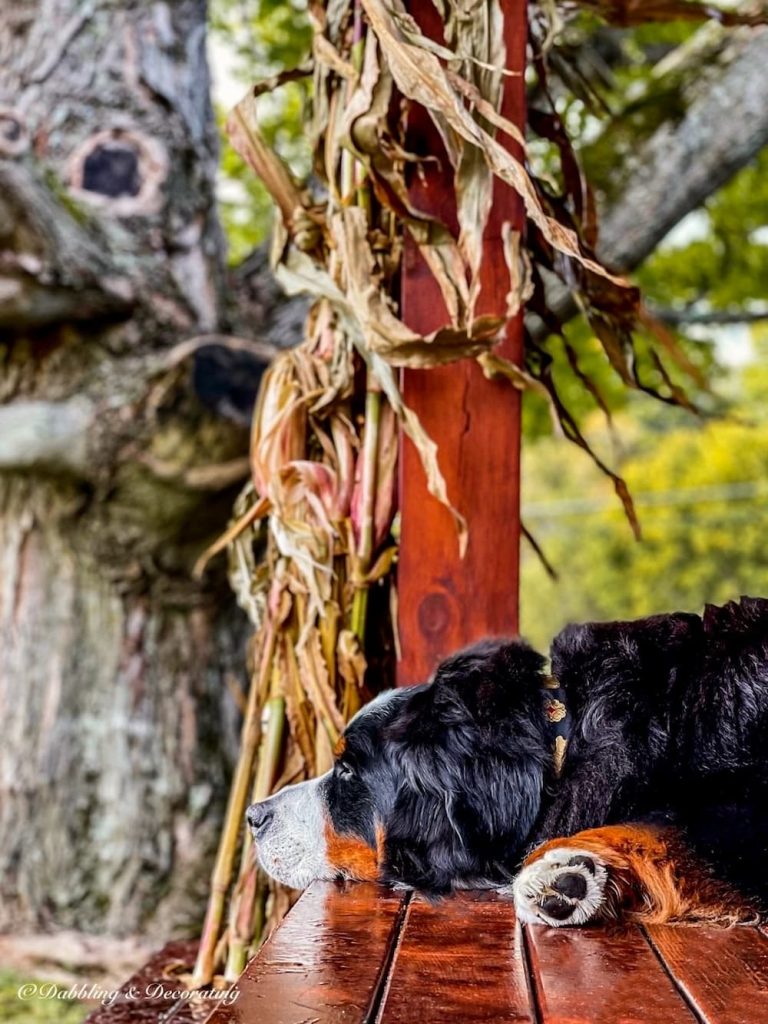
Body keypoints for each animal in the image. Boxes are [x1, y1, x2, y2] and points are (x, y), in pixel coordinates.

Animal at [246, 598, 768, 925]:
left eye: (348, 770)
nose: (253, 815)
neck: (563, 737)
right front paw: (581, 874)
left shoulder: (736, 810)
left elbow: (653, 824)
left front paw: (562, 871)